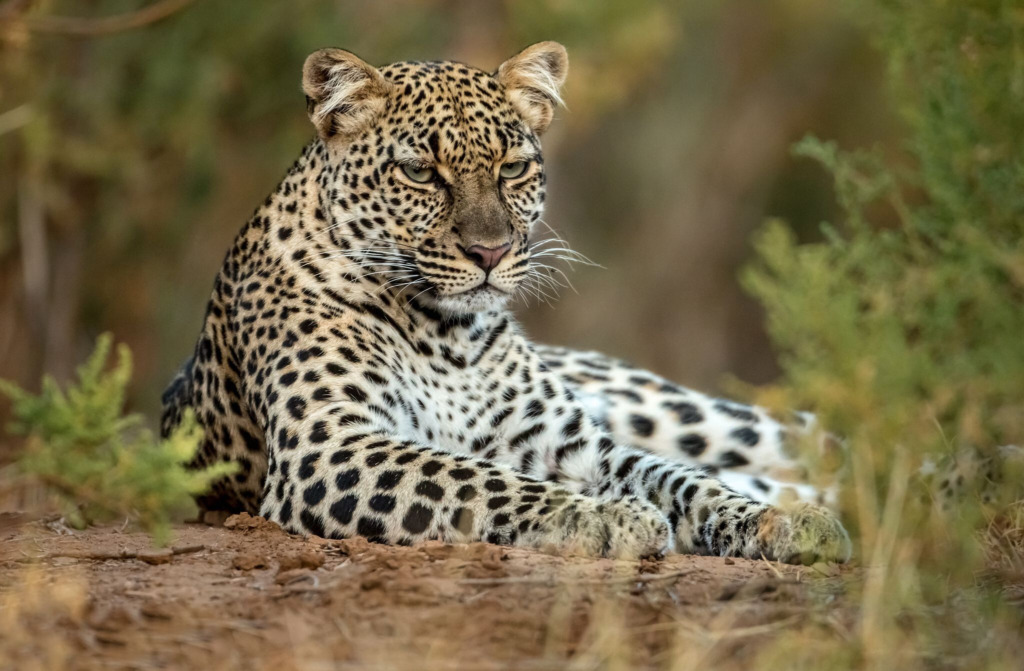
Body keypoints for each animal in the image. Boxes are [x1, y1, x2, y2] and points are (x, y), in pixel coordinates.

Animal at [160, 41, 851, 564]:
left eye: (513, 168)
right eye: (420, 172)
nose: (489, 253)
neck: (447, 337)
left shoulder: (572, 443)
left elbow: (680, 478)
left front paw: (780, 522)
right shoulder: (329, 448)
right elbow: (481, 480)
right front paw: (612, 518)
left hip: (682, 412)